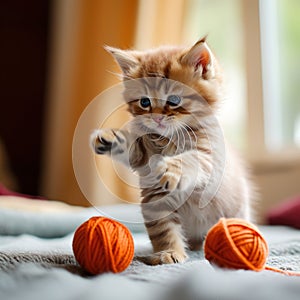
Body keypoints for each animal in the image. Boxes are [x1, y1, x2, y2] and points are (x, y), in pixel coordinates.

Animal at [90, 37, 254, 264]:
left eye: (174, 100)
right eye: (144, 102)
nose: (157, 117)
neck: (169, 139)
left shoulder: (211, 156)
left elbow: (191, 159)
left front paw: (170, 169)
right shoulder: (152, 186)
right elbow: (163, 230)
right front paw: (169, 252)